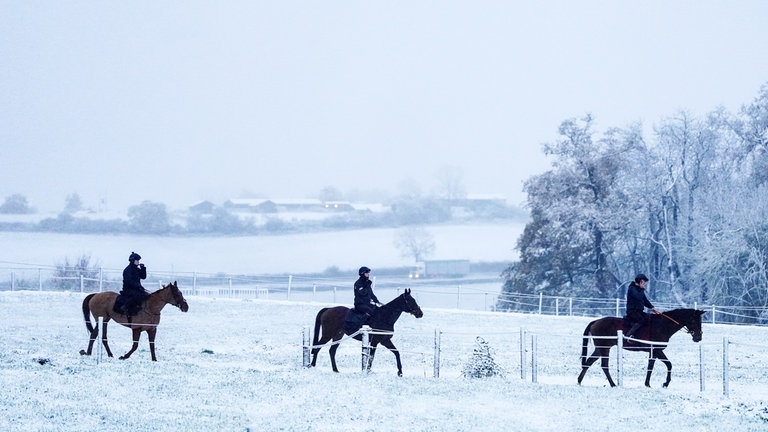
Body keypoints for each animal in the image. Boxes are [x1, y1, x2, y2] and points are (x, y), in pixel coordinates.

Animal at [576, 308, 704, 388]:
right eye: (694, 320)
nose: (698, 337)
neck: (662, 325)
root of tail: (596, 321)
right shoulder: (656, 350)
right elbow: (664, 365)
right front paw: (663, 383)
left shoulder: (654, 352)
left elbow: (655, 366)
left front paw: (651, 383)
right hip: (604, 348)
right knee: (604, 365)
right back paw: (613, 384)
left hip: (600, 349)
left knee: (588, 363)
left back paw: (579, 381)